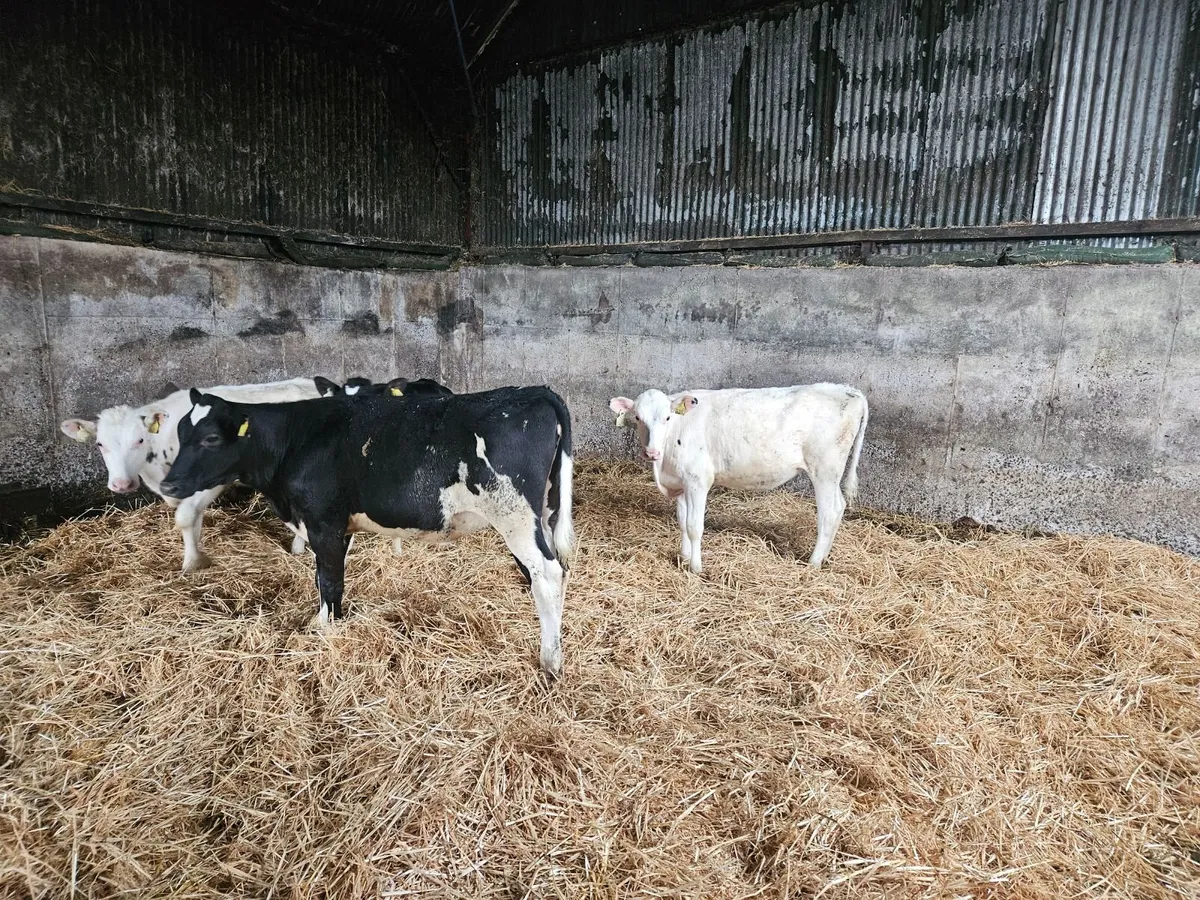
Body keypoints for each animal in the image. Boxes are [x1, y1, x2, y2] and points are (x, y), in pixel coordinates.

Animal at [60, 378, 322, 571]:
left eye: (140, 440)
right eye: (100, 444)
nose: (122, 484)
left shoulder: (211, 479)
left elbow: (185, 516)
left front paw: (191, 562)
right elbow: (193, 519)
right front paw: (195, 556)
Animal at [159, 386, 576, 677]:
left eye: (211, 438)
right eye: (179, 433)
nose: (168, 484)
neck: (295, 440)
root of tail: (534, 391)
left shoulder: (323, 521)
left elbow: (329, 581)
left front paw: (325, 631)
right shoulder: (341, 525)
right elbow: (329, 578)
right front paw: (331, 622)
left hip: (514, 514)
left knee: (548, 574)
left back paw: (550, 661)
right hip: (541, 513)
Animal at [608, 384, 868, 574]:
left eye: (667, 418)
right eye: (637, 418)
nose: (651, 452)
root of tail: (848, 389)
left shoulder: (698, 480)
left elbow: (694, 526)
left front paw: (696, 567)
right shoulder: (681, 481)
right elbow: (682, 521)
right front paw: (683, 556)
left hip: (824, 469)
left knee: (829, 513)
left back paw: (813, 562)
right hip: (831, 474)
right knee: (839, 506)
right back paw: (825, 557)